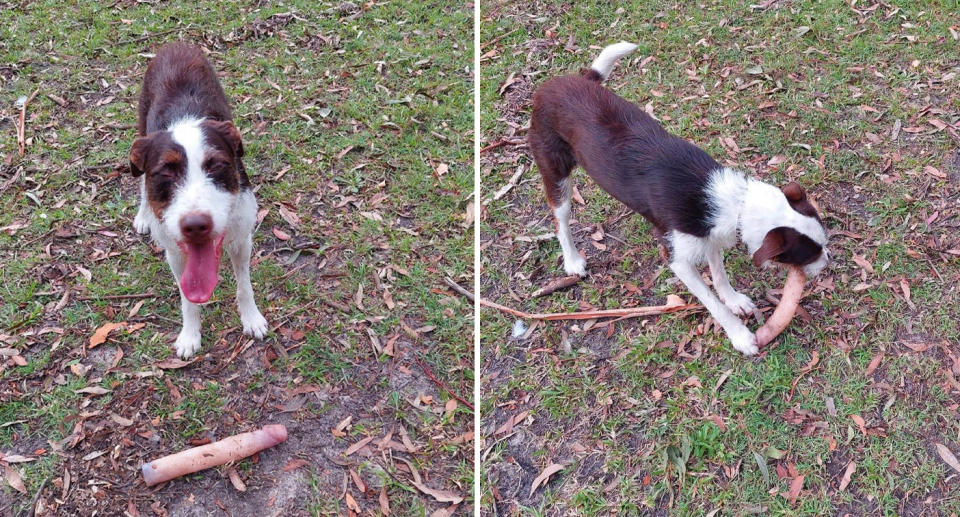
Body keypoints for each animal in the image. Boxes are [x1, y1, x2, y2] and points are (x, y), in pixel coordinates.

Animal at [129, 43, 268, 358]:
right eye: (165, 172)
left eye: (216, 165)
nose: (195, 225)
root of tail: (175, 43)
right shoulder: (175, 253)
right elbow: (187, 297)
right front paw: (190, 334)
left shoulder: (242, 240)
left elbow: (244, 285)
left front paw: (251, 318)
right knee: (140, 183)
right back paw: (143, 215)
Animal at [528, 42, 828, 354]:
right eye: (809, 254)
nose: (828, 263)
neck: (737, 202)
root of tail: (559, 82)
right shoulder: (677, 258)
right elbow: (711, 301)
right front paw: (740, 335)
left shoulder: (709, 234)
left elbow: (719, 275)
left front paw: (733, 299)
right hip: (555, 172)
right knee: (560, 220)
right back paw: (572, 261)